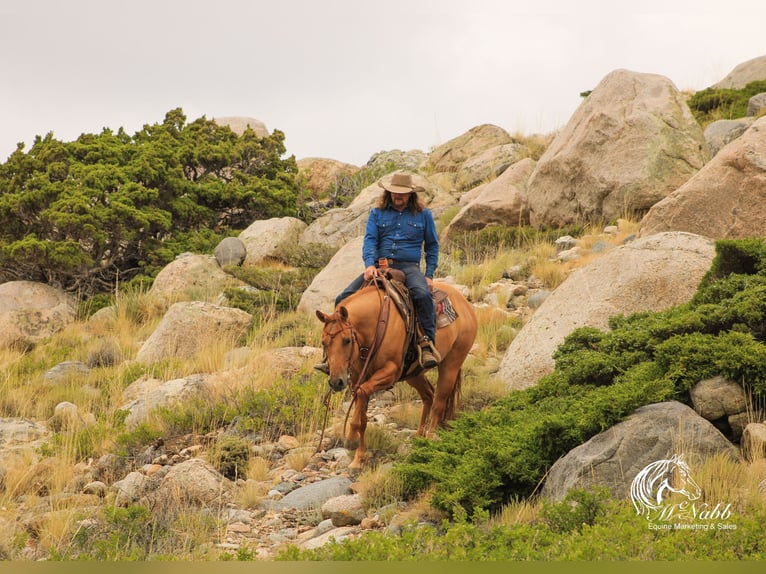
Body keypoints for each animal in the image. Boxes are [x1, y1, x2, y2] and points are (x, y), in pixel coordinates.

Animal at [316, 276, 474, 470]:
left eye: (346, 340)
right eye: (324, 342)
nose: (335, 382)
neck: (375, 326)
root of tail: (466, 305)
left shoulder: (389, 373)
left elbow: (361, 397)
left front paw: (351, 439)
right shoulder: (358, 378)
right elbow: (363, 417)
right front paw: (358, 458)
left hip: (451, 364)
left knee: (439, 402)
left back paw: (430, 438)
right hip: (414, 374)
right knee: (428, 395)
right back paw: (419, 435)